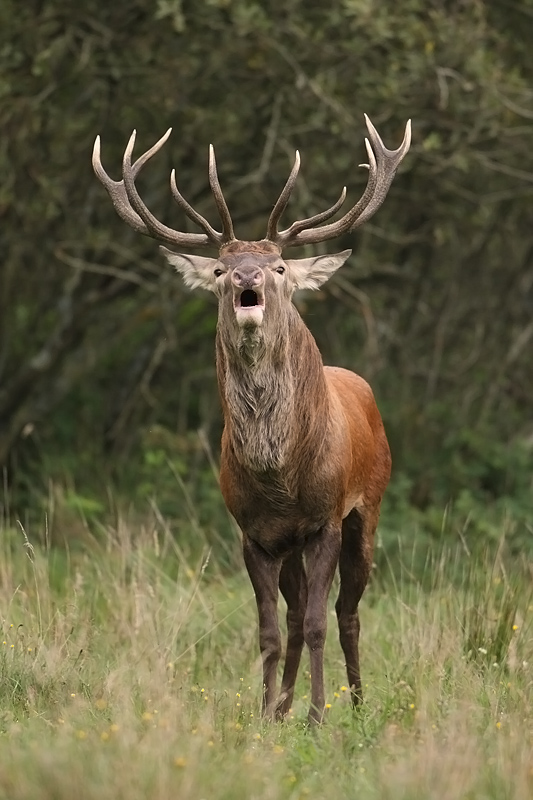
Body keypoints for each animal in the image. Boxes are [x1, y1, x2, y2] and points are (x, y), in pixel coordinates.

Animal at [93, 115, 412, 720]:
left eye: (280, 265)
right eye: (220, 267)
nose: (248, 279)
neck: (278, 478)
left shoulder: (325, 519)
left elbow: (318, 623)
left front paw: (318, 716)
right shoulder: (253, 533)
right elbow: (269, 630)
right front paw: (266, 715)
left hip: (369, 510)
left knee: (346, 612)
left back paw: (358, 706)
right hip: (290, 547)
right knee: (294, 614)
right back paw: (285, 707)